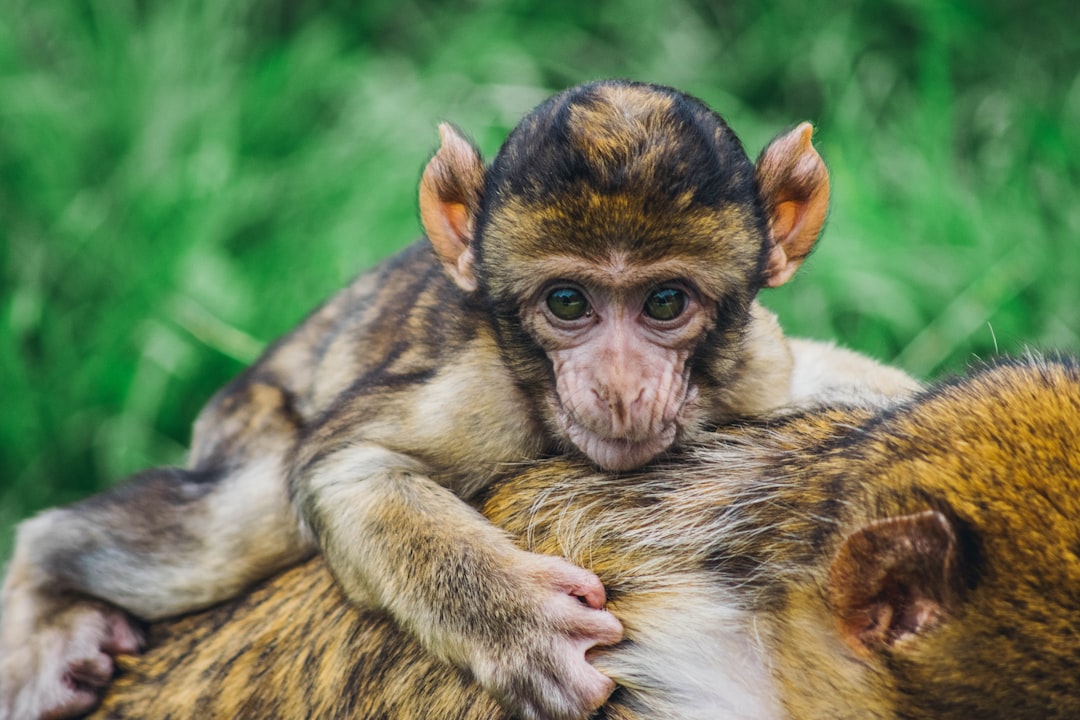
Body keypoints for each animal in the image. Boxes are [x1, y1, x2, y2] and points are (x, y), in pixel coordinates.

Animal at [0, 78, 911, 720]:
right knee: (236, 519)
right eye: (569, 303)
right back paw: (44, 590)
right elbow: (344, 466)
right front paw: (520, 625)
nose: (618, 387)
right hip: (248, 412)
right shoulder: (486, 392)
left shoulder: (754, 367)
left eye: (664, 303)